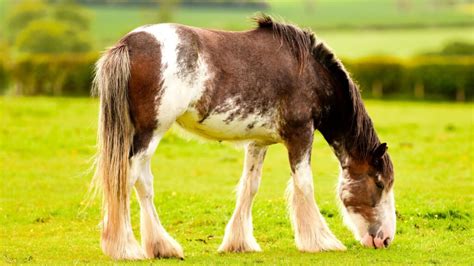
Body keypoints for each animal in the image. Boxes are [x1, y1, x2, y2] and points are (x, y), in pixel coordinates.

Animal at [91, 15, 396, 260]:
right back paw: (124, 248)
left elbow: (250, 187)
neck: (309, 74)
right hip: (149, 134)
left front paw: (239, 243)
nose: (385, 239)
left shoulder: (259, 142)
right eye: (379, 183)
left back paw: (162, 247)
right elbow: (304, 185)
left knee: (143, 184)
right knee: (126, 179)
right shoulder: (300, 135)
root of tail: (128, 44)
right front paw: (321, 241)